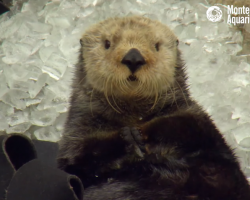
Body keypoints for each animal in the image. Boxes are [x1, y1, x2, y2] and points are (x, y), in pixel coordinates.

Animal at [56, 16, 250, 199]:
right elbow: (79, 160)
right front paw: (127, 137)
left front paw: (142, 132)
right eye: (107, 43)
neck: (132, 114)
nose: (133, 57)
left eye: (156, 45)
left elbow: (189, 128)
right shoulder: (77, 132)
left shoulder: (192, 116)